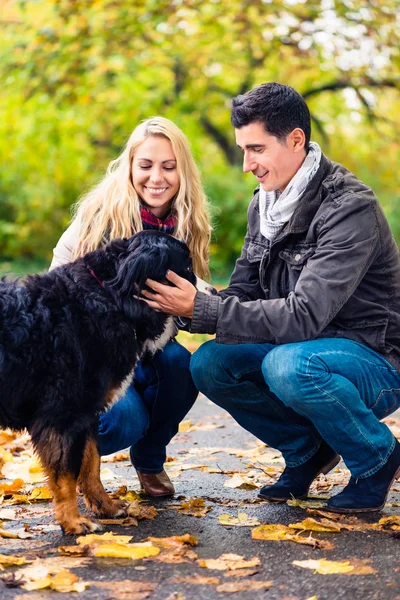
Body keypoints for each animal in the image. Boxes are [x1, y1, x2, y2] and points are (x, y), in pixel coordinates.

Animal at [0, 230, 195, 536]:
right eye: (186, 267)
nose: (212, 294)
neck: (109, 297)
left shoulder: (88, 412)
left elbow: (92, 465)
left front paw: (106, 507)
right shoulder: (63, 416)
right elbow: (66, 475)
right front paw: (73, 521)